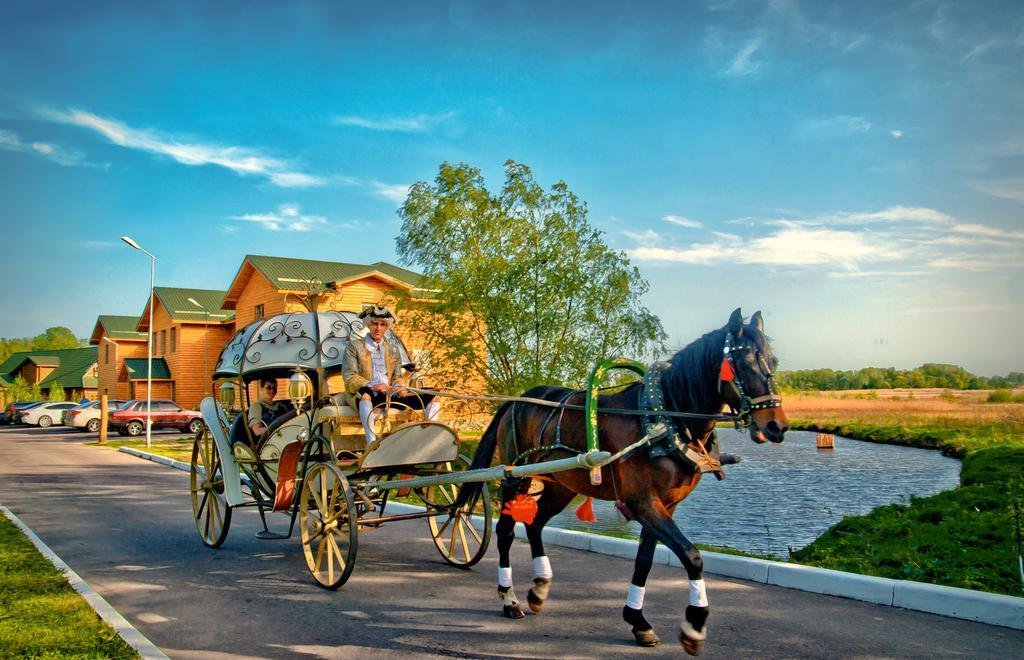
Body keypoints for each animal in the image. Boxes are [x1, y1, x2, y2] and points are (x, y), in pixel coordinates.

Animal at [460, 309, 786, 654]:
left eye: (773, 361)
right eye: (745, 364)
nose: (776, 426)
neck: (662, 420)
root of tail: (516, 400)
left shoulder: (665, 505)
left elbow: (644, 561)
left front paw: (638, 621)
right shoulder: (643, 502)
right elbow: (692, 556)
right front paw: (694, 625)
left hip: (562, 485)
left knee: (534, 524)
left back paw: (539, 588)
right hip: (514, 477)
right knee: (506, 531)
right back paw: (509, 598)